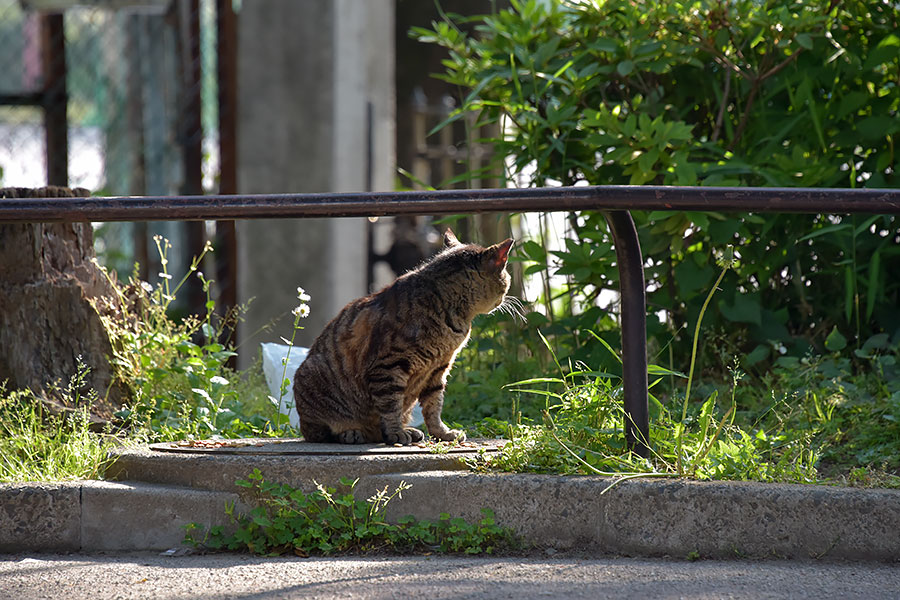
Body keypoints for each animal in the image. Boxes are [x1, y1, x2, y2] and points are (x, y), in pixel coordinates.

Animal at [294, 230, 512, 446]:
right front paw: (396, 432)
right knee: (319, 432)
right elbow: (391, 405)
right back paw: (352, 432)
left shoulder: (439, 369)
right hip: (312, 383)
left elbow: (434, 406)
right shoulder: (389, 366)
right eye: (507, 279)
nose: (505, 297)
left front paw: (442, 433)